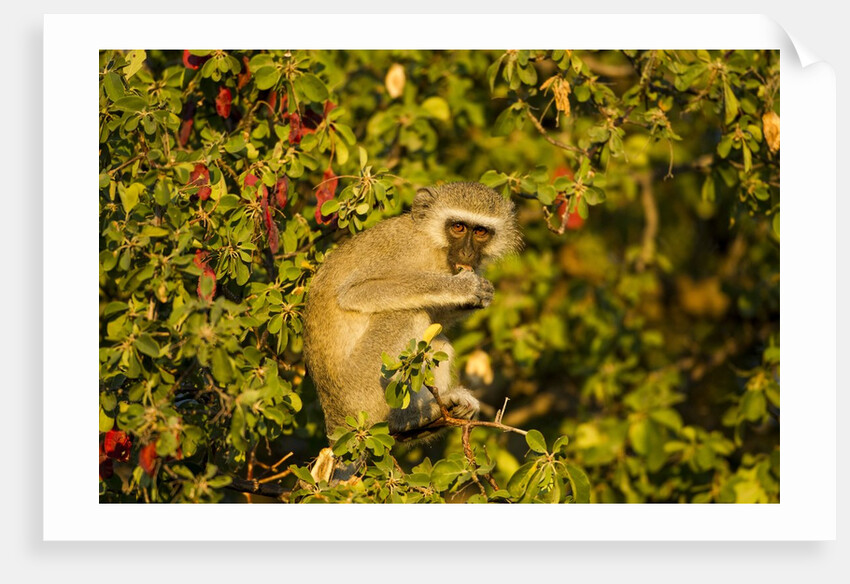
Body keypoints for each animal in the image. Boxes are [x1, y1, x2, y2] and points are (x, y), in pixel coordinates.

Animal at [303, 182, 521, 442]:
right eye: (458, 227)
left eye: (480, 232)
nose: (468, 254)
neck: (434, 245)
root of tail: (334, 418)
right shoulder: (401, 250)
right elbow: (355, 292)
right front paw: (463, 287)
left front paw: (479, 295)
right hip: (358, 391)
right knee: (408, 315)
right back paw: (403, 420)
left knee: (438, 340)